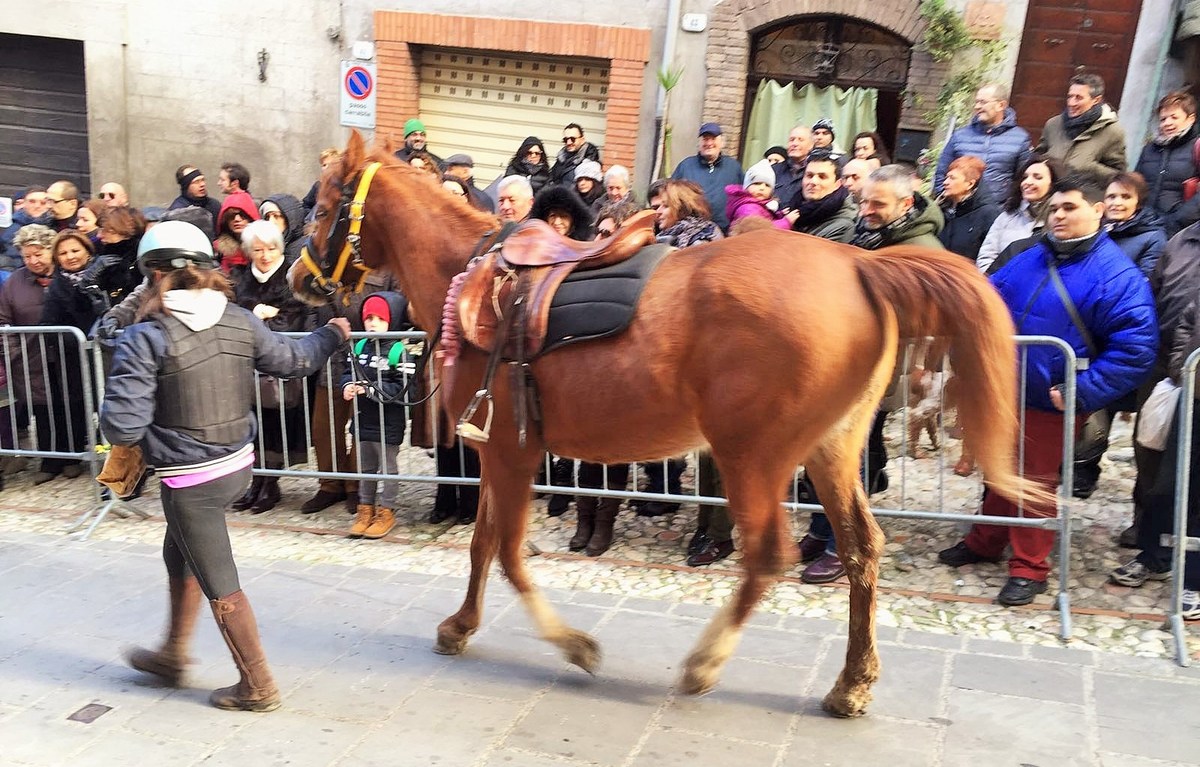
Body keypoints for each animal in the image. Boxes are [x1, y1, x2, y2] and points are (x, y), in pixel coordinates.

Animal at [290, 133, 1051, 720]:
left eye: (323, 206)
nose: (298, 277)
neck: (469, 274)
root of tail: (863, 268)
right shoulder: (502, 452)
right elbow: (482, 546)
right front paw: (460, 626)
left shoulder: (510, 450)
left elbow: (503, 551)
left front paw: (573, 644)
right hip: (831, 453)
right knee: (863, 550)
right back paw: (850, 683)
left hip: (751, 457)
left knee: (767, 554)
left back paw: (707, 662)